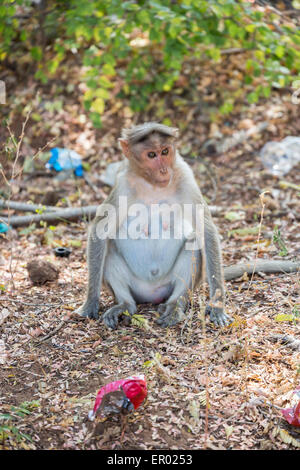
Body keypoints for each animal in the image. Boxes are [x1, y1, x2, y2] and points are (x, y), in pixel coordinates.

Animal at [77, 121, 232, 328]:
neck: (152, 184)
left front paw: (217, 306)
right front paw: (90, 303)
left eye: (165, 151)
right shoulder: (123, 185)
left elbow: (206, 231)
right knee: (108, 250)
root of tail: (153, 295)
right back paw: (125, 305)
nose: (164, 170)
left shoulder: (185, 176)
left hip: (169, 285)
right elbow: (100, 232)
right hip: (137, 289)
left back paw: (175, 305)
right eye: (151, 155)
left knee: (192, 243)